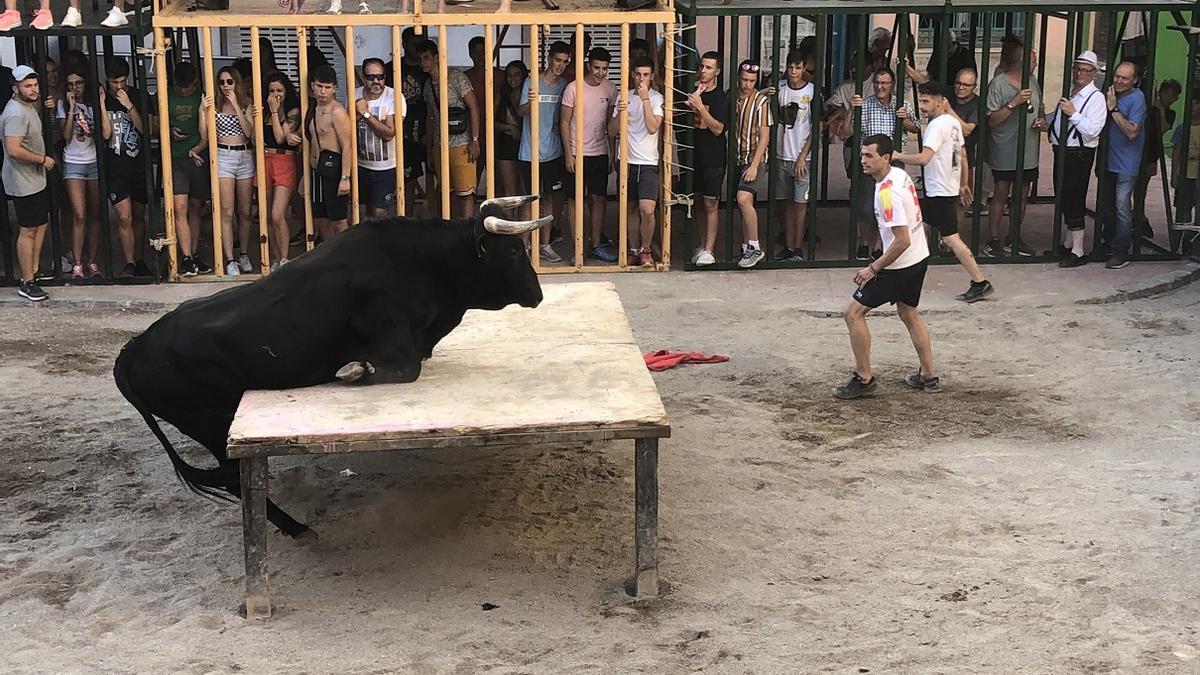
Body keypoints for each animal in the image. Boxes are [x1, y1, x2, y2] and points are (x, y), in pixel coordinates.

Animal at [114, 194, 547, 535]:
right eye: (513, 251)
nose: (538, 294)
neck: (423, 262)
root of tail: (131, 350)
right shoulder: (394, 343)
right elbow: (404, 370)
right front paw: (353, 370)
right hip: (210, 423)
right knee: (236, 480)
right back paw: (297, 528)